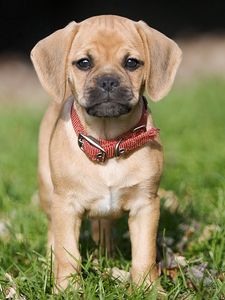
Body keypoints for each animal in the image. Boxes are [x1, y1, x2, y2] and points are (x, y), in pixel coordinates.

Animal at [30, 15, 182, 290]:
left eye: (132, 62)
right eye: (84, 63)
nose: (108, 81)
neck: (108, 141)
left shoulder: (146, 205)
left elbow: (144, 255)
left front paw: (148, 288)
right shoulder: (66, 205)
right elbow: (68, 253)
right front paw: (67, 288)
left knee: (103, 228)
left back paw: (105, 258)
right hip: (47, 191)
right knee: (52, 233)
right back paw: (49, 262)